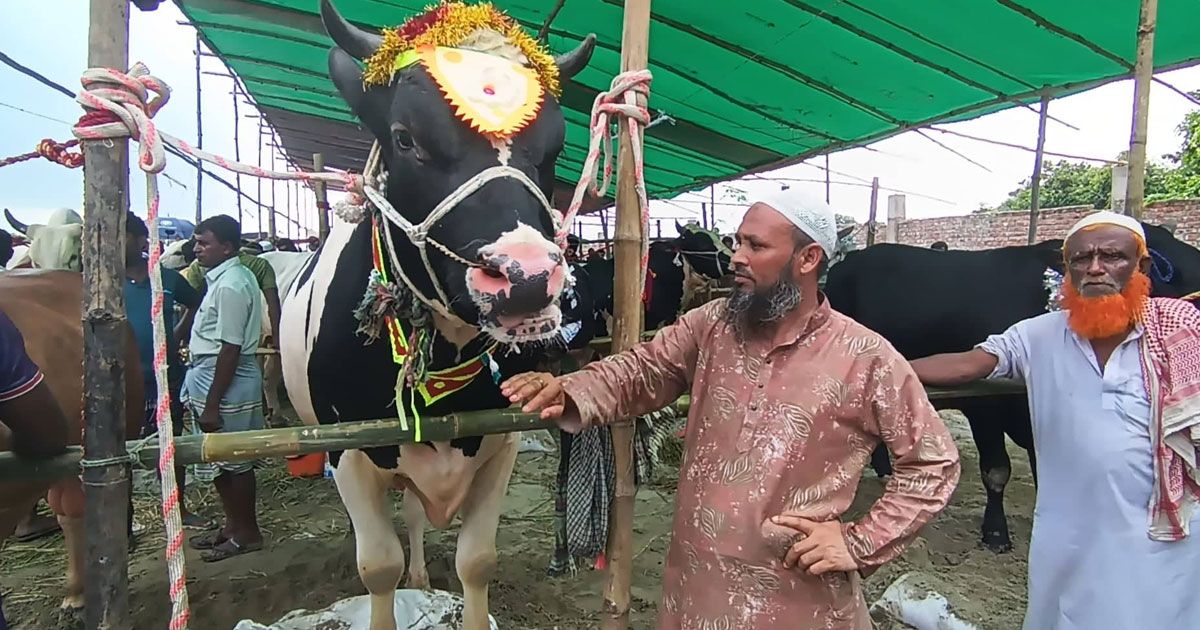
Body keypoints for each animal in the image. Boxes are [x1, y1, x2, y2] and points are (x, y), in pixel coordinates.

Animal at [282, 2, 600, 624]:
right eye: (405, 138)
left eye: (554, 150)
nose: (526, 277)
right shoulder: (350, 452)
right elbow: (377, 568)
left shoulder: (501, 440)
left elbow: (477, 561)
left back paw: (423, 577)